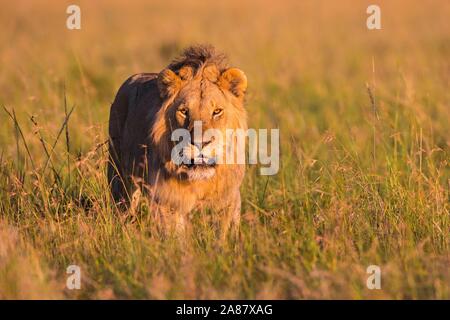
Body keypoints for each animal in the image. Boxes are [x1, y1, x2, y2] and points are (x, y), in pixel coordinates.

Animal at [107, 44, 248, 238]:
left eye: (217, 111)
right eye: (184, 111)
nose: (200, 144)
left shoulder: (227, 199)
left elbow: (222, 234)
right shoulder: (166, 201)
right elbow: (176, 238)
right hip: (118, 175)